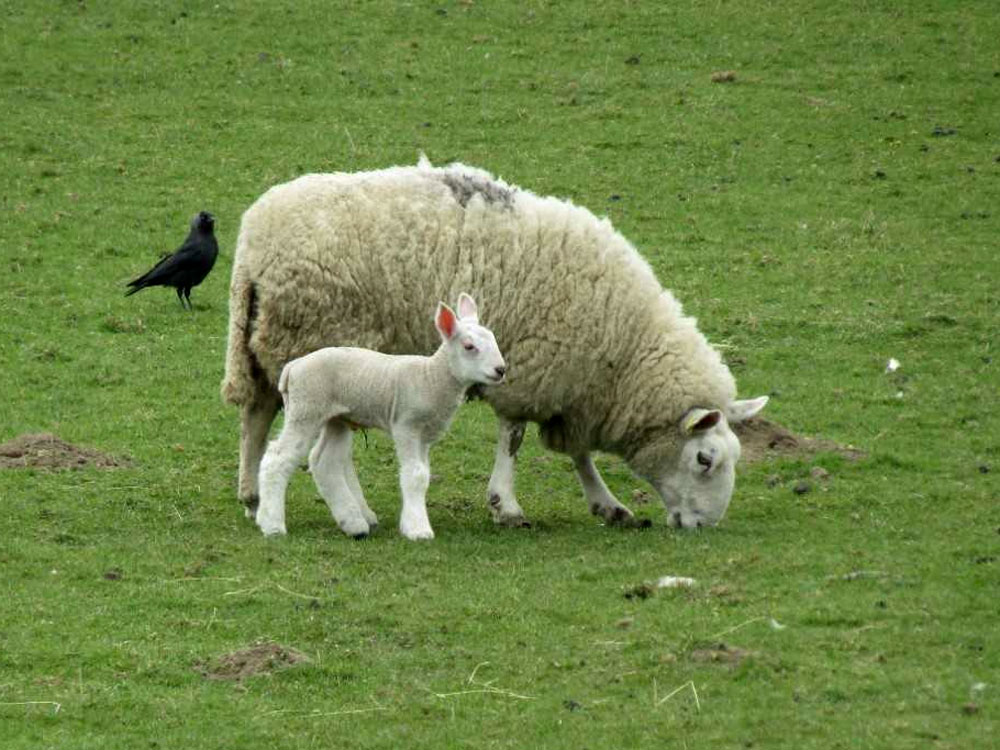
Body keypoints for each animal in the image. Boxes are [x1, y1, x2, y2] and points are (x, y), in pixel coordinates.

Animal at [255, 294, 506, 540]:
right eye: (469, 346)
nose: (501, 370)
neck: (431, 377)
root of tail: (293, 367)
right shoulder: (406, 425)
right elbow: (415, 475)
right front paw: (418, 530)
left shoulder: (424, 436)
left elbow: (423, 476)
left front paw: (410, 521)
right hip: (306, 409)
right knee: (277, 458)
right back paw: (272, 525)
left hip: (336, 417)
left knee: (324, 462)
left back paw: (353, 523)